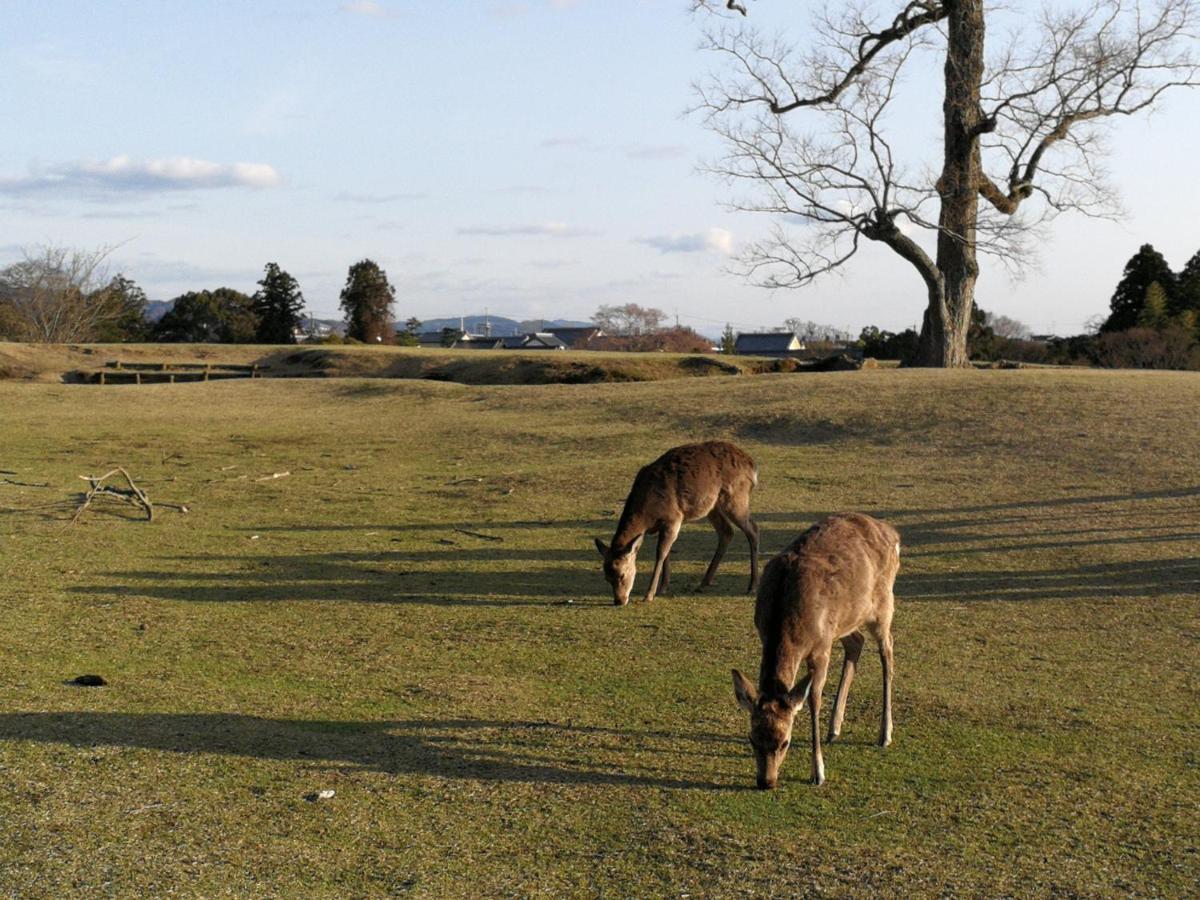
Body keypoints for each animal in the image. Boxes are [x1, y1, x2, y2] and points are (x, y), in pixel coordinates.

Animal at [592, 441, 758, 607]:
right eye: (606, 577)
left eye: (621, 574)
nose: (619, 601)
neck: (647, 516)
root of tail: (752, 466)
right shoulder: (664, 524)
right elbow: (666, 553)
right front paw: (663, 587)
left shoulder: (674, 518)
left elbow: (661, 552)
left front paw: (649, 594)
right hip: (711, 506)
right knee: (727, 531)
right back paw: (704, 582)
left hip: (735, 497)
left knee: (753, 529)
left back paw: (752, 586)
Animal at [729, 513, 902, 787]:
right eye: (752, 739)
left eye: (785, 742)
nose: (766, 782)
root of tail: (892, 533)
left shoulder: (821, 647)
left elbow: (813, 698)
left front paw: (818, 772)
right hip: (846, 619)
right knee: (856, 642)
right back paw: (834, 728)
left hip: (883, 604)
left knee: (888, 650)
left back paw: (884, 734)